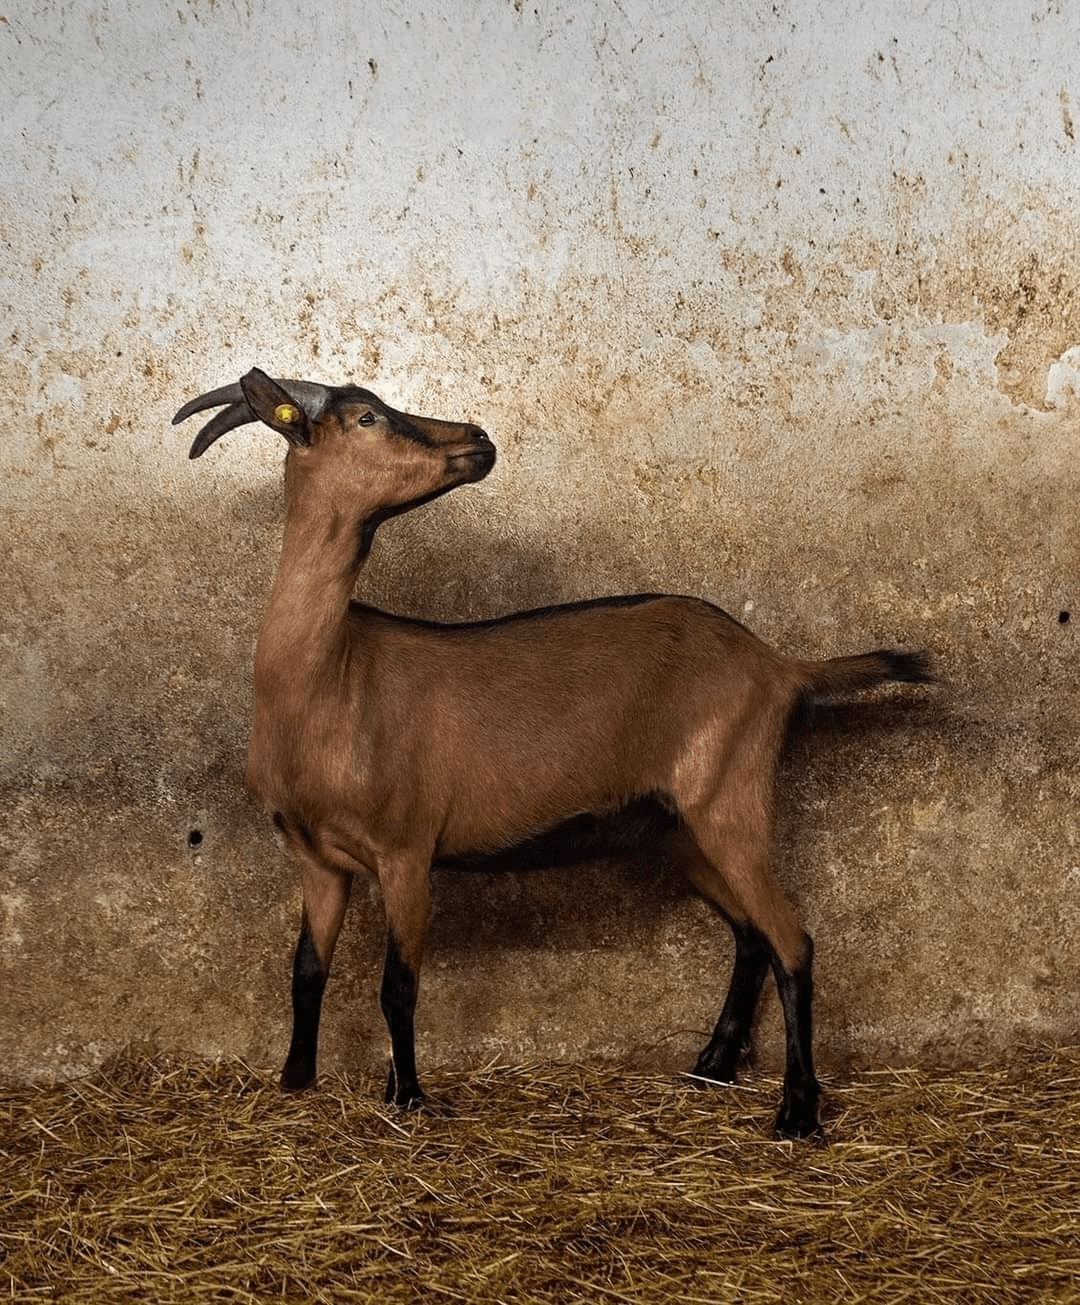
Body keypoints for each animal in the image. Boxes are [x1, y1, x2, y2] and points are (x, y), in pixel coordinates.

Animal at [174, 367, 931, 1138]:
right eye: (366, 418)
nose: (479, 437)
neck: (332, 678)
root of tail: (779, 666)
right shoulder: (318, 858)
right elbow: (305, 971)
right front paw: (296, 1080)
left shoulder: (406, 850)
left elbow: (398, 985)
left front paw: (408, 1097)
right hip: (676, 830)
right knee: (752, 933)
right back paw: (713, 1064)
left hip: (731, 800)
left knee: (793, 940)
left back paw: (797, 1111)